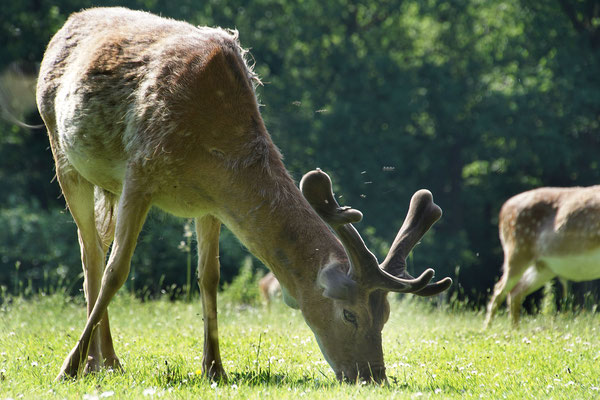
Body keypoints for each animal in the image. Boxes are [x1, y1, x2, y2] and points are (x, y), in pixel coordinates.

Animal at [36, 6, 450, 382]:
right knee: (92, 255)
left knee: (98, 248)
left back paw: (108, 360)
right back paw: (95, 361)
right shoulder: (140, 171)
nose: (373, 376)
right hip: (62, 152)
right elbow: (116, 272)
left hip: (108, 184)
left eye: (386, 316)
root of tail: (66, 25)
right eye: (349, 314)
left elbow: (210, 277)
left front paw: (215, 368)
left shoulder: (210, 204)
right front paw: (67, 368)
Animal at [486, 185, 600, 328]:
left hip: (544, 267)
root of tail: (503, 209)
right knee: (500, 288)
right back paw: (487, 329)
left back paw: (515, 330)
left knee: (515, 291)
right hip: (517, 251)